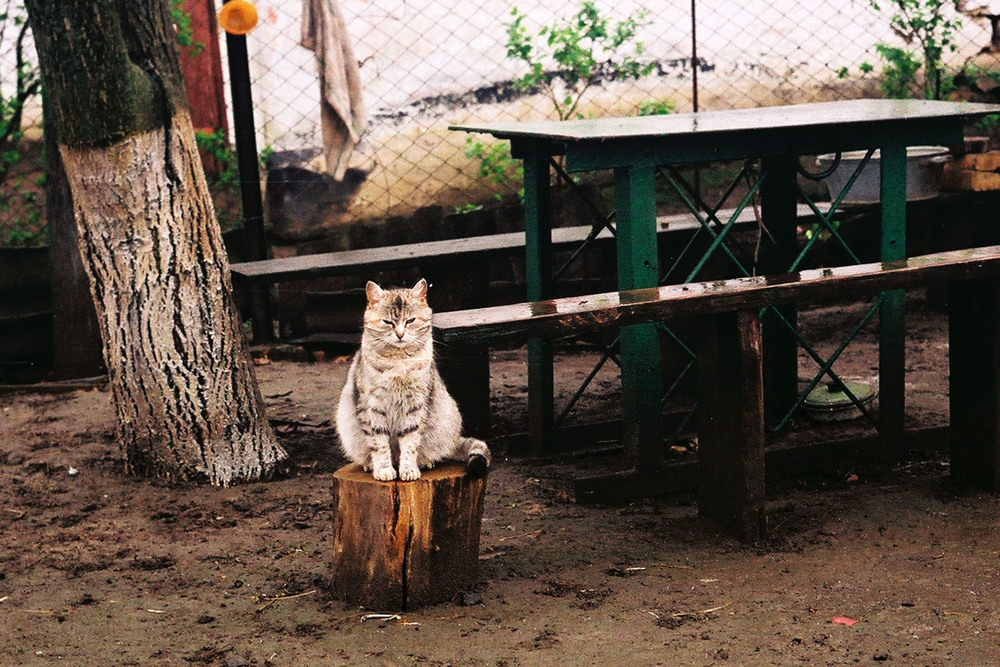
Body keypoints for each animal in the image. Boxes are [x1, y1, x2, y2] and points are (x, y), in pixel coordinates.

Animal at [336, 276, 492, 480]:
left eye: (410, 320)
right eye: (387, 322)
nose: (400, 334)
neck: (398, 361)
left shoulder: (415, 404)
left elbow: (410, 442)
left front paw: (408, 469)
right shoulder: (371, 405)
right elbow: (379, 443)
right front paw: (384, 469)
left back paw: (424, 462)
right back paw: (370, 465)